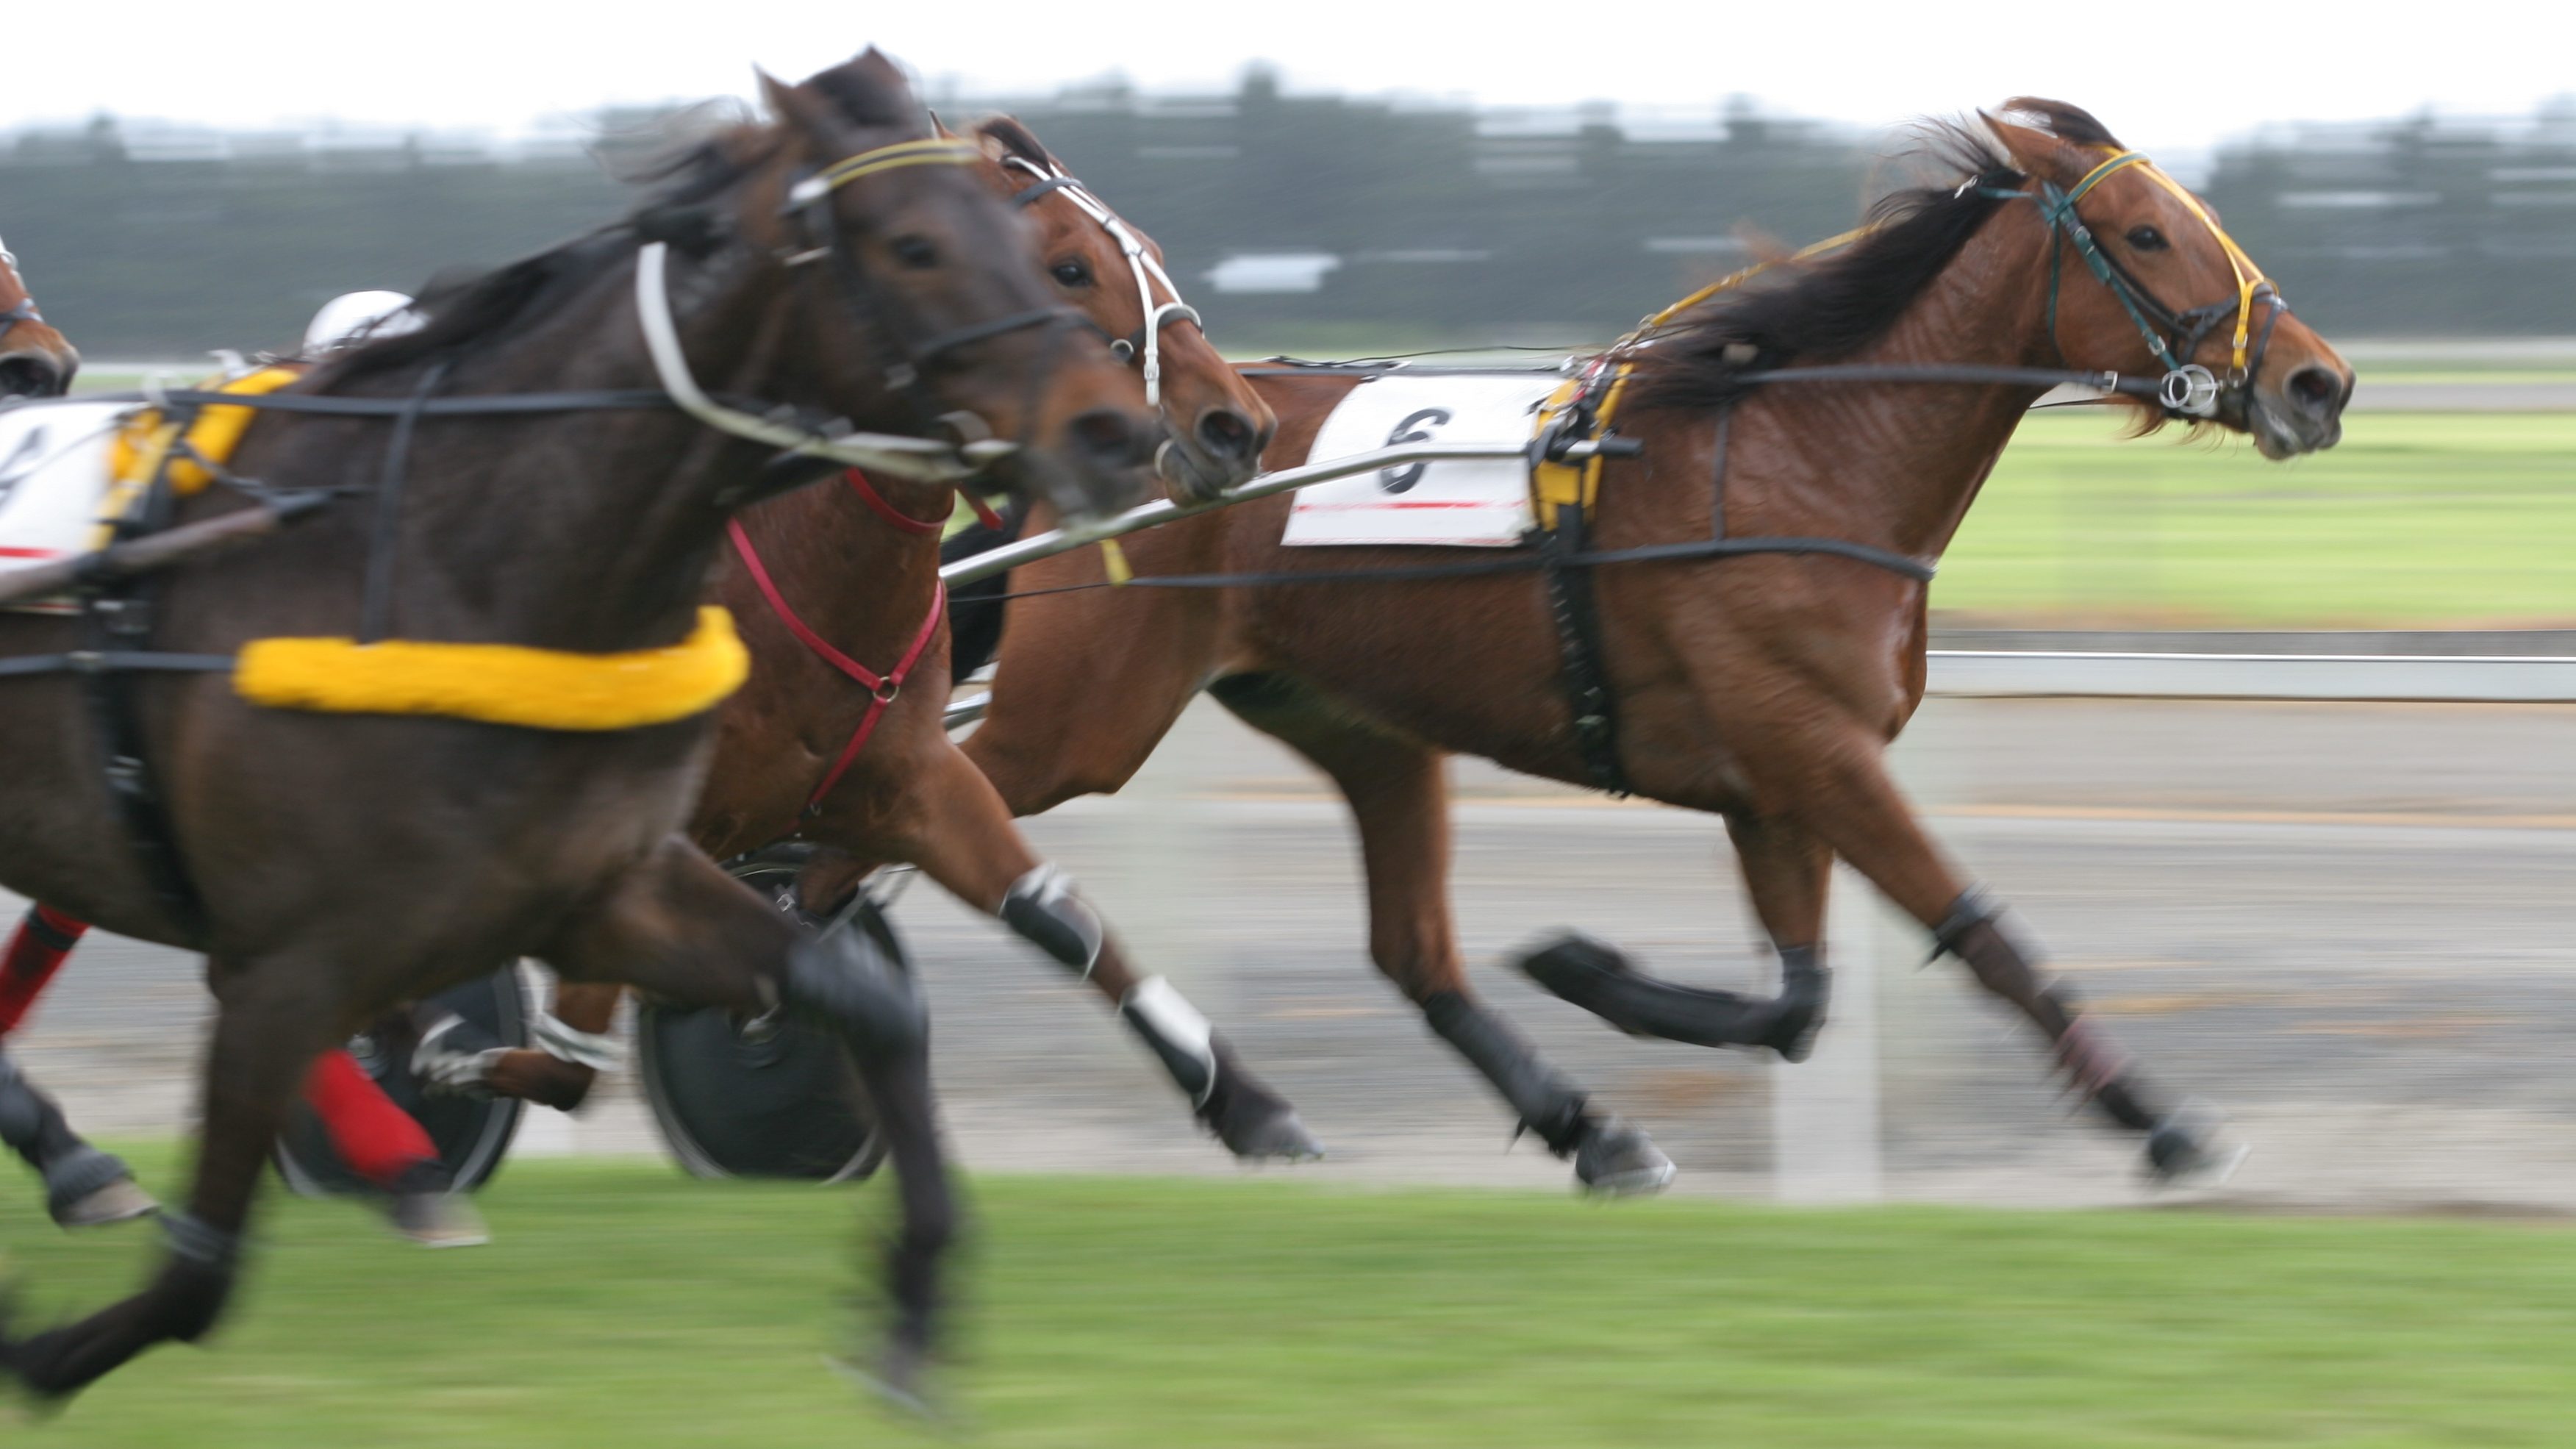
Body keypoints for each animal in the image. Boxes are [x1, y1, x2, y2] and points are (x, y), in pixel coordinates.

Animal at [479, 112, 1329, 1155]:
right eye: (1068, 268)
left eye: (1153, 252)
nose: (1235, 427)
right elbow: (567, 1044)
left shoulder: (914, 778)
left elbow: (1062, 921)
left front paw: (1245, 1100)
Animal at [953, 99, 2359, 1186]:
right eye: (2146, 233)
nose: (2317, 381)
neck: (1808, 457)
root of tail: (1110, 436)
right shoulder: (1812, 745)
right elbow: (1980, 933)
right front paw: (2162, 1121)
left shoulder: (1775, 779)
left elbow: (1798, 1000)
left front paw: (1587, 968)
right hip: (1082, 719)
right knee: (949, 814)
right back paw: (1232, 1096)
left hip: (1358, 725)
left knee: (1412, 950)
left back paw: (1581, 1128)